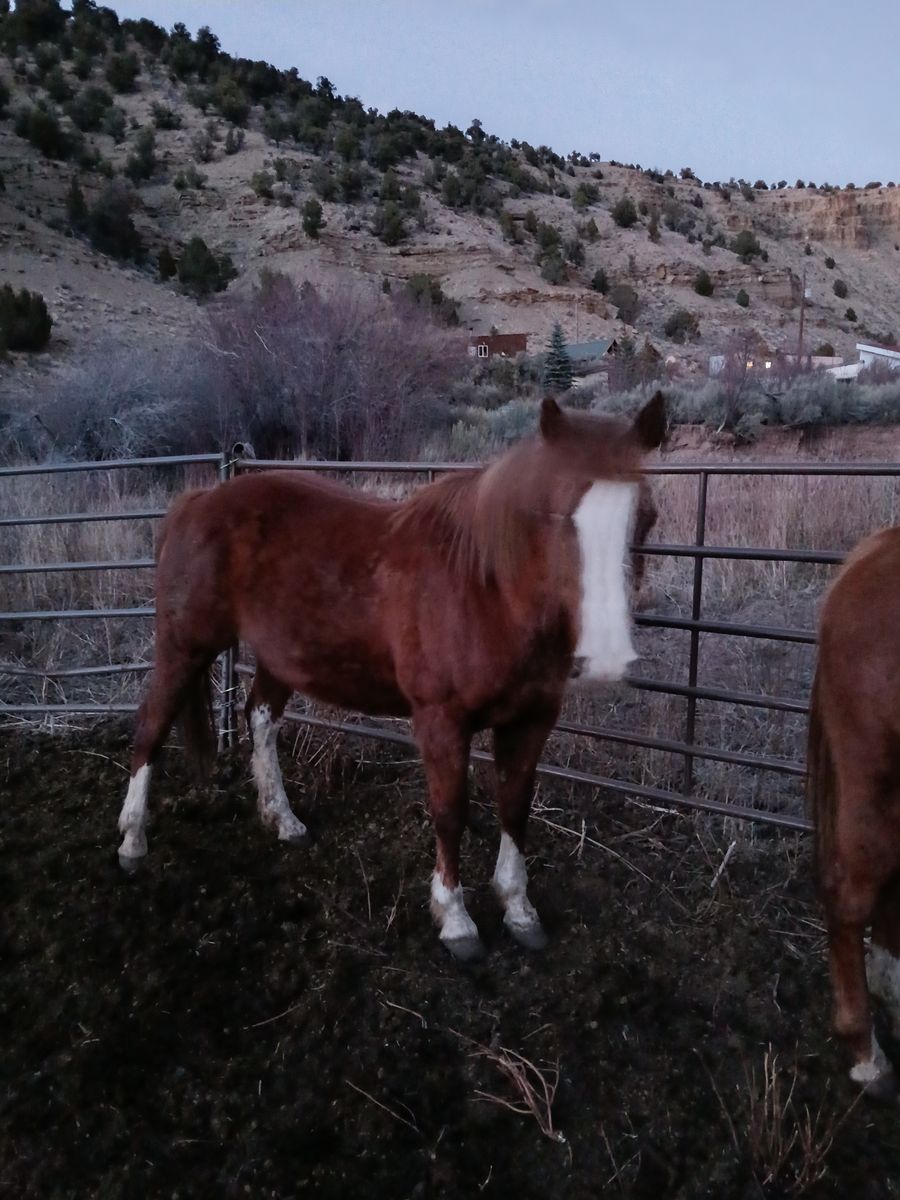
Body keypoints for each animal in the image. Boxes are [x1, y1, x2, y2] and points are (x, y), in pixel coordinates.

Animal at [117, 392, 666, 961]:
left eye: (646, 516)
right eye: (557, 516)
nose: (607, 657)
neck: (485, 590)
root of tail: (200, 500)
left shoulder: (531, 721)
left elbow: (515, 808)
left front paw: (519, 910)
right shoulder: (440, 720)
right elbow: (450, 811)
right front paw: (455, 920)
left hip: (278, 656)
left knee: (260, 719)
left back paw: (285, 821)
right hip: (183, 648)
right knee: (151, 728)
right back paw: (132, 842)